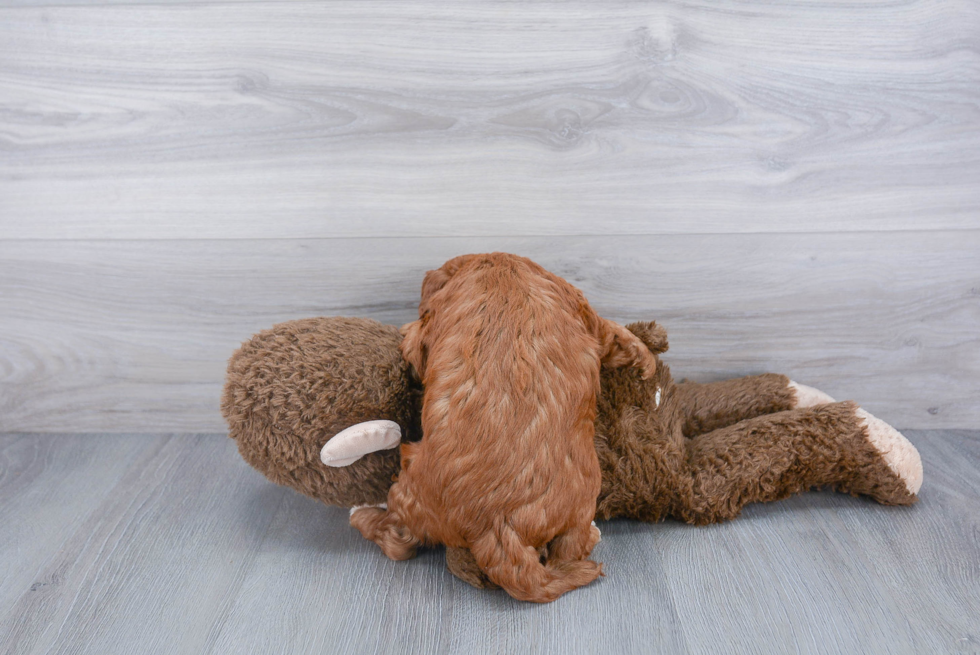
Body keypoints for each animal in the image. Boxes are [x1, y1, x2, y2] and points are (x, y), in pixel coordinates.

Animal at [348, 252, 656, 604]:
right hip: (580, 504)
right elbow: (611, 332)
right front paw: (644, 358)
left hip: (410, 482)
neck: (500, 266)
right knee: (568, 549)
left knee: (399, 542)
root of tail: (497, 525)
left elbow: (413, 340)